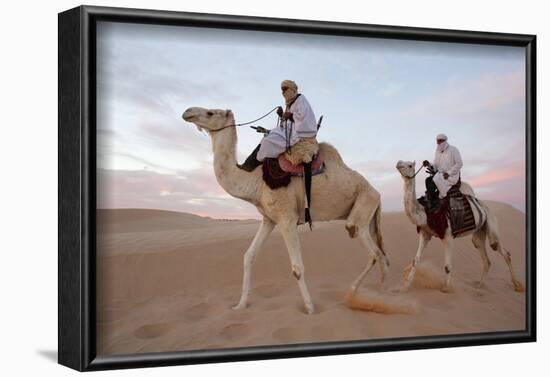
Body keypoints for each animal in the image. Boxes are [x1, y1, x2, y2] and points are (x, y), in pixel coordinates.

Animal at [183, 107, 390, 312]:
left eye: (210, 113)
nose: (187, 113)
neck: (256, 181)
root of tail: (378, 193)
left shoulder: (287, 218)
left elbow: (297, 268)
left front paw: (310, 308)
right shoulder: (269, 219)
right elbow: (249, 256)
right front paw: (240, 305)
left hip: (362, 208)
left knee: (373, 252)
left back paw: (356, 294)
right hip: (369, 215)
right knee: (383, 256)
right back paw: (382, 293)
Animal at [396, 160, 528, 292]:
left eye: (410, 165)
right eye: (402, 161)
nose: (398, 163)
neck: (426, 212)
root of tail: (485, 207)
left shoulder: (448, 236)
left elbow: (447, 266)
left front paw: (446, 288)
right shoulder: (425, 233)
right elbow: (415, 260)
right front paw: (405, 286)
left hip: (491, 222)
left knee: (500, 249)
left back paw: (517, 286)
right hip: (479, 232)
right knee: (485, 258)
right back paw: (479, 285)